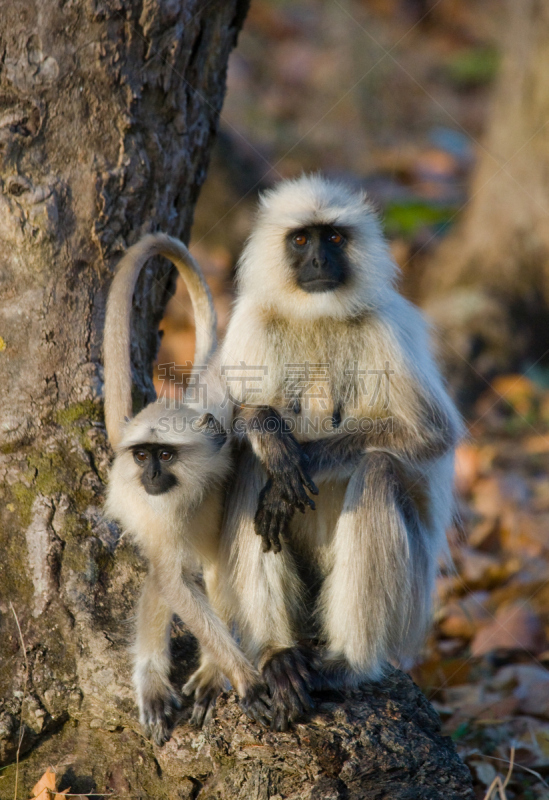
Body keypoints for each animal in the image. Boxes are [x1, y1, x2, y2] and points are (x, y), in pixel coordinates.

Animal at [102, 231, 270, 744]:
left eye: (165, 455)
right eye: (144, 456)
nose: (150, 475)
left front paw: (219, 672)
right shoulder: (148, 503)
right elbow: (172, 579)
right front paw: (241, 674)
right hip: (132, 500)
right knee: (165, 570)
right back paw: (153, 679)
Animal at [215, 175, 462, 732]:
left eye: (333, 238)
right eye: (300, 240)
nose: (317, 261)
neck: (318, 317)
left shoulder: (386, 326)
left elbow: (431, 435)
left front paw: (301, 460)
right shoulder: (249, 321)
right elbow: (217, 426)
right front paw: (265, 428)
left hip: (414, 600)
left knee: (377, 469)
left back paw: (348, 664)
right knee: (249, 465)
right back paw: (279, 655)